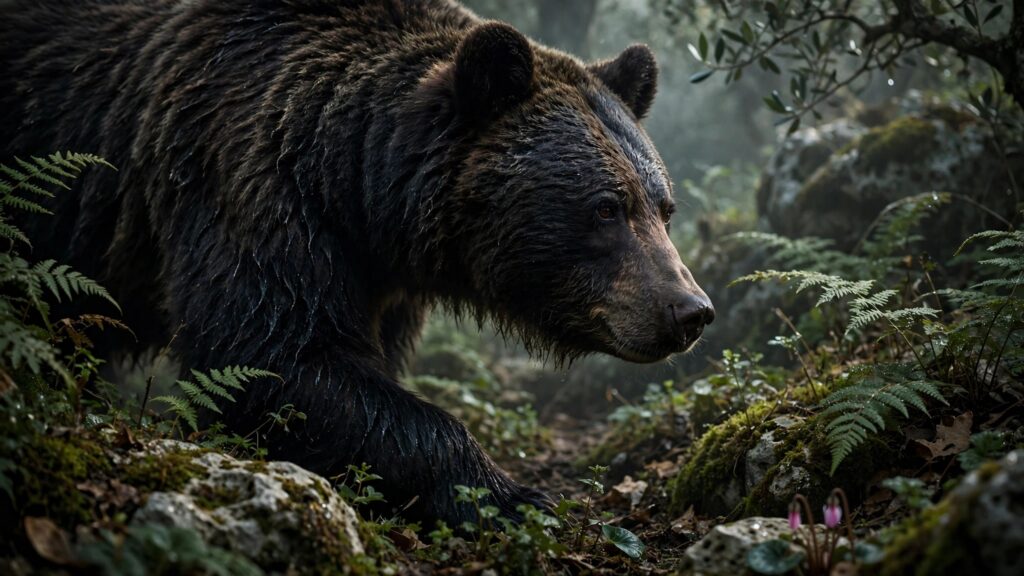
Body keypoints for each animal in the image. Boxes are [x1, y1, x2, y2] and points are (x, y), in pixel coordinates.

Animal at [1, 0, 714, 525]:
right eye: (605, 208)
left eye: (663, 206)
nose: (690, 311)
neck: (357, 187)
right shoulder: (249, 180)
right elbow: (271, 354)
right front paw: (512, 496)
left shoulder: (380, 279)